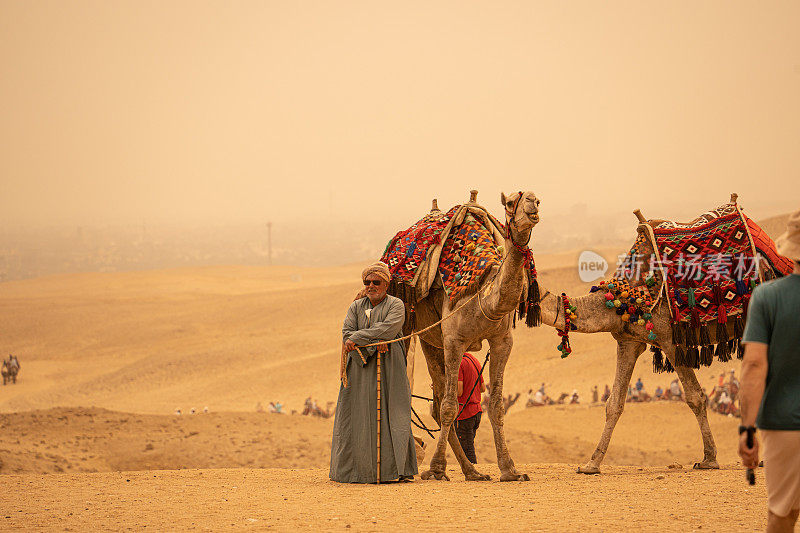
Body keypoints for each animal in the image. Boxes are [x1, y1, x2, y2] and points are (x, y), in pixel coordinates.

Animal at [410, 189, 540, 480]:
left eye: (537, 199)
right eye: (511, 202)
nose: (532, 203)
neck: (484, 296)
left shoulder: (503, 341)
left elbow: (497, 406)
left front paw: (510, 469)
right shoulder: (454, 341)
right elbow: (449, 407)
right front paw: (436, 468)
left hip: (434, 340)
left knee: (437, 401)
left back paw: (471, 471)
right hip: (421, 334)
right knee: (440, 403)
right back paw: (446, 469)